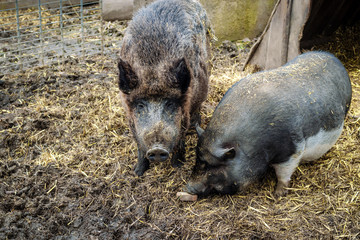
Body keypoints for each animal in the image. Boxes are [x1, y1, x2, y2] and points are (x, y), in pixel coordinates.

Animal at [118, 0, 214, 176]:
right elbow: (139, 144)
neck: (153, 70)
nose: (156, 149)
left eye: (170, 103)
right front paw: (137, 172)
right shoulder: (129, 115)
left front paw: (178, 166)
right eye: (140, 105)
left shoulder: (185, 109)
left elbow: (181, 135)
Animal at [186, 51, 352, 197]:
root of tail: (335, 59)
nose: (189, 187)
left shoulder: (292, 149)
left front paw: (278, 194)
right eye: (197, 159)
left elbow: (284, 173)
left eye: (211, 166)